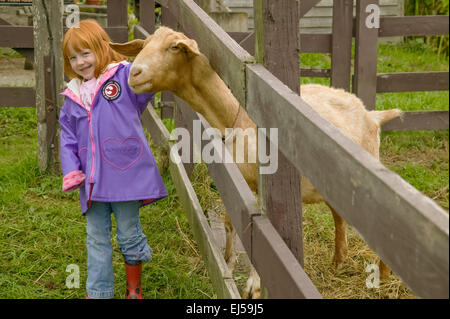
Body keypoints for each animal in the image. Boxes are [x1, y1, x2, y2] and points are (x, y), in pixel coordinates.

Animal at [109, 26, 400, 298]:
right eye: (144, 44)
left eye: (173, 47)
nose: (134, 74)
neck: (235, 118)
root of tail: (373, 114)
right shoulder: (236, 181)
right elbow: (230, 224)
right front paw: (227, 263)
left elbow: (262, 239)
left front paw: (255, 285)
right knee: (339, 217)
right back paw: (339, 260)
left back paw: (384, 276)